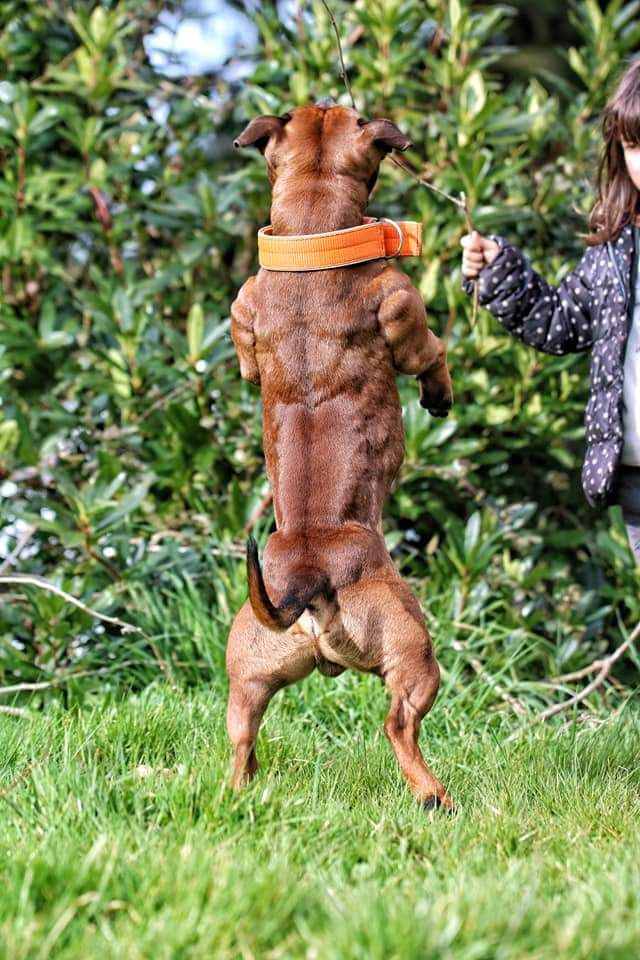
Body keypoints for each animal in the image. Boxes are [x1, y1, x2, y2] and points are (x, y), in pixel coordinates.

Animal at [226, 100, 454, 810]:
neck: (312, 238)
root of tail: (305, 577)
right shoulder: (406, 315)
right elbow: (432, 353)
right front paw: (440, 393)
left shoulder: (242, 317)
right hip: (412, 648)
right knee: (398, 725)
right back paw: (434, 796)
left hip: (246, 673)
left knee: (241, 736)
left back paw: (241, 794)